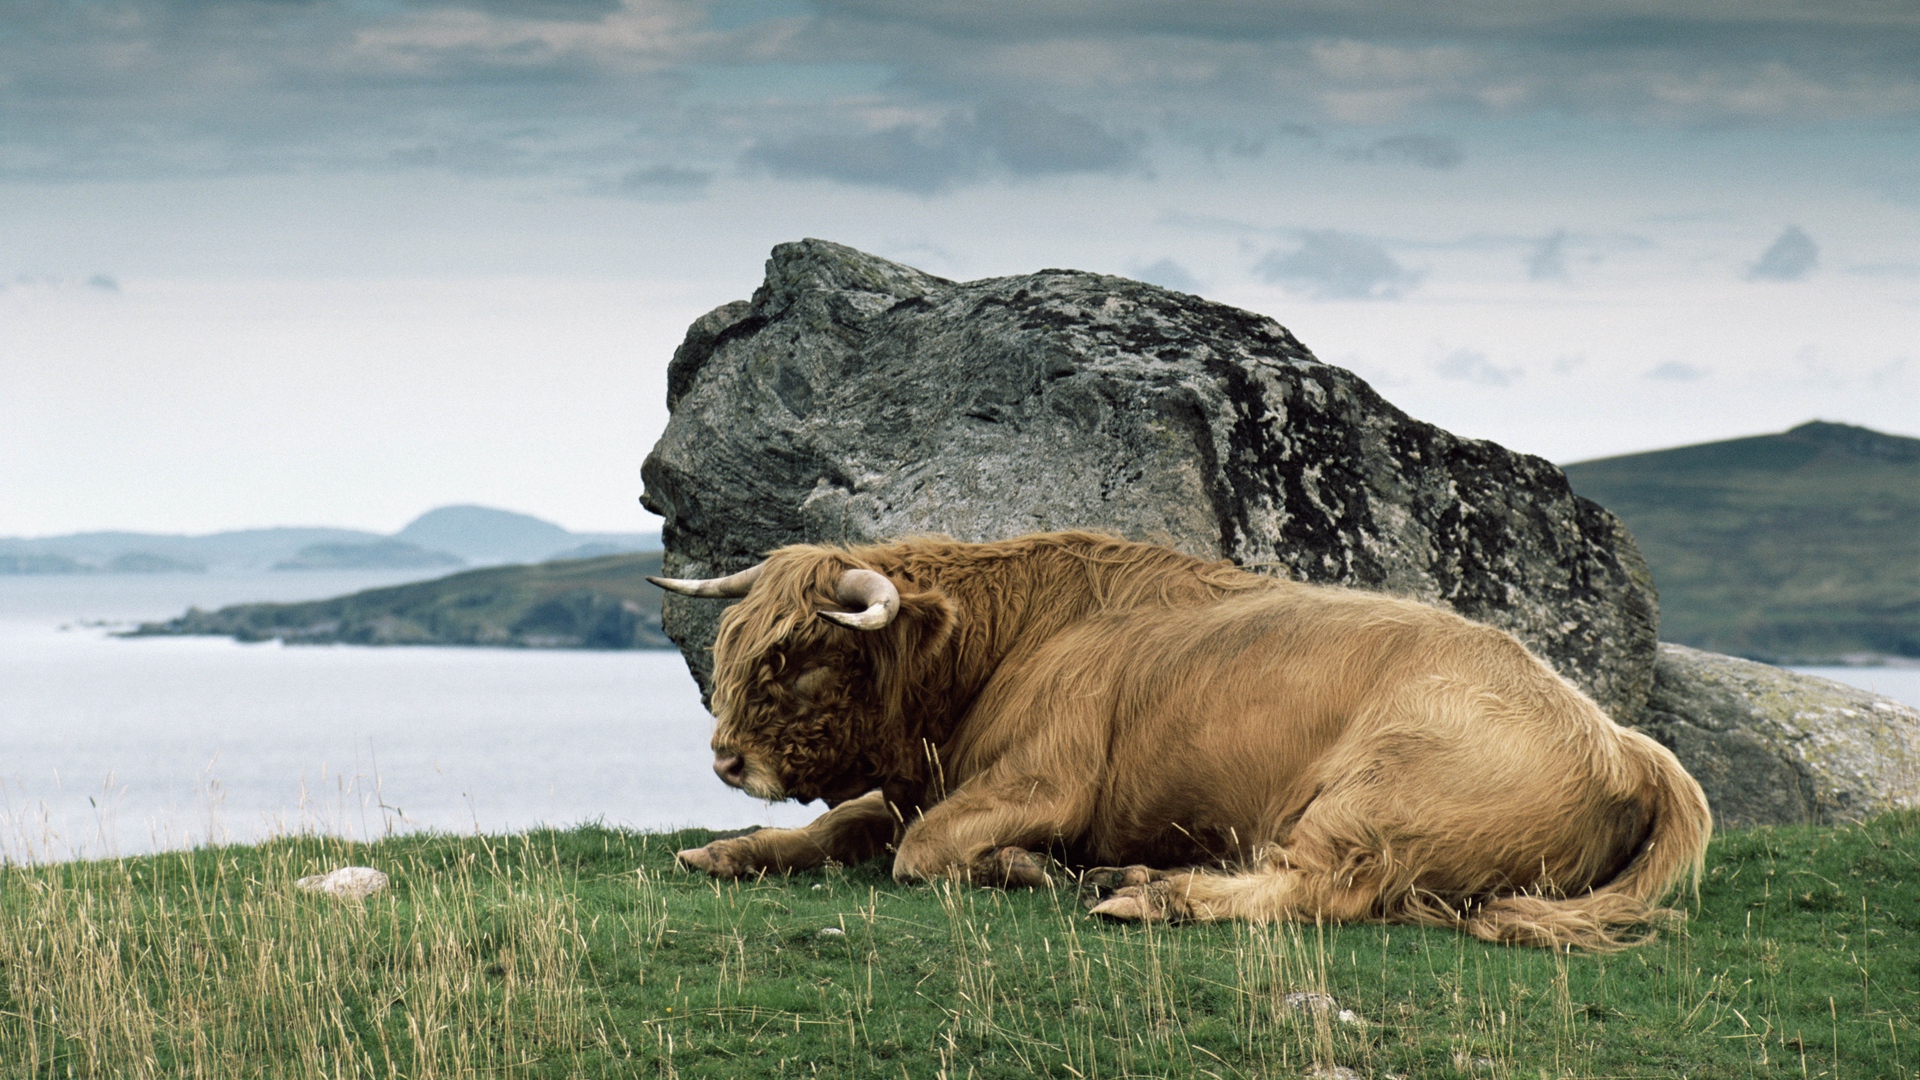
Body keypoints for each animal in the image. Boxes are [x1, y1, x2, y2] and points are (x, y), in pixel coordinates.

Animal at [655, 531, 1710, 950]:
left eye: (801, 654)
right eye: (741, 638)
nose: (725, 759)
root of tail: (1620, 740)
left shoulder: (1041, 781)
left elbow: (920, 850)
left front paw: (1027, 867)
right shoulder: (927, 781)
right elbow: (844, 825)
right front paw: (726, 850)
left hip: (1376, 797)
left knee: (1319, 888)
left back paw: (1146, 896)